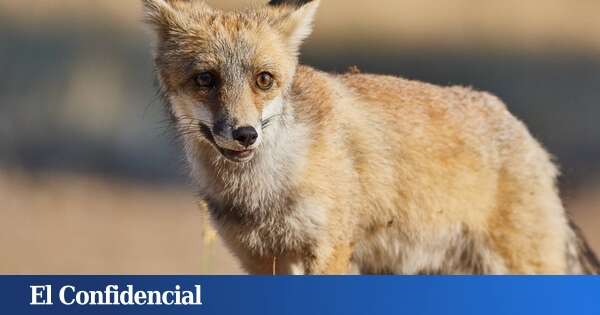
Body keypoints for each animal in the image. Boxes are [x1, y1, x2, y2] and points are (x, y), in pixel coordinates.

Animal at [142, 0, 600, 274]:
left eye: (264, 79)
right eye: (205, 79)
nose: (244, 134)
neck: (261, 193)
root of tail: (522, 130)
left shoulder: (329, 251)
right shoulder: (259, 260)